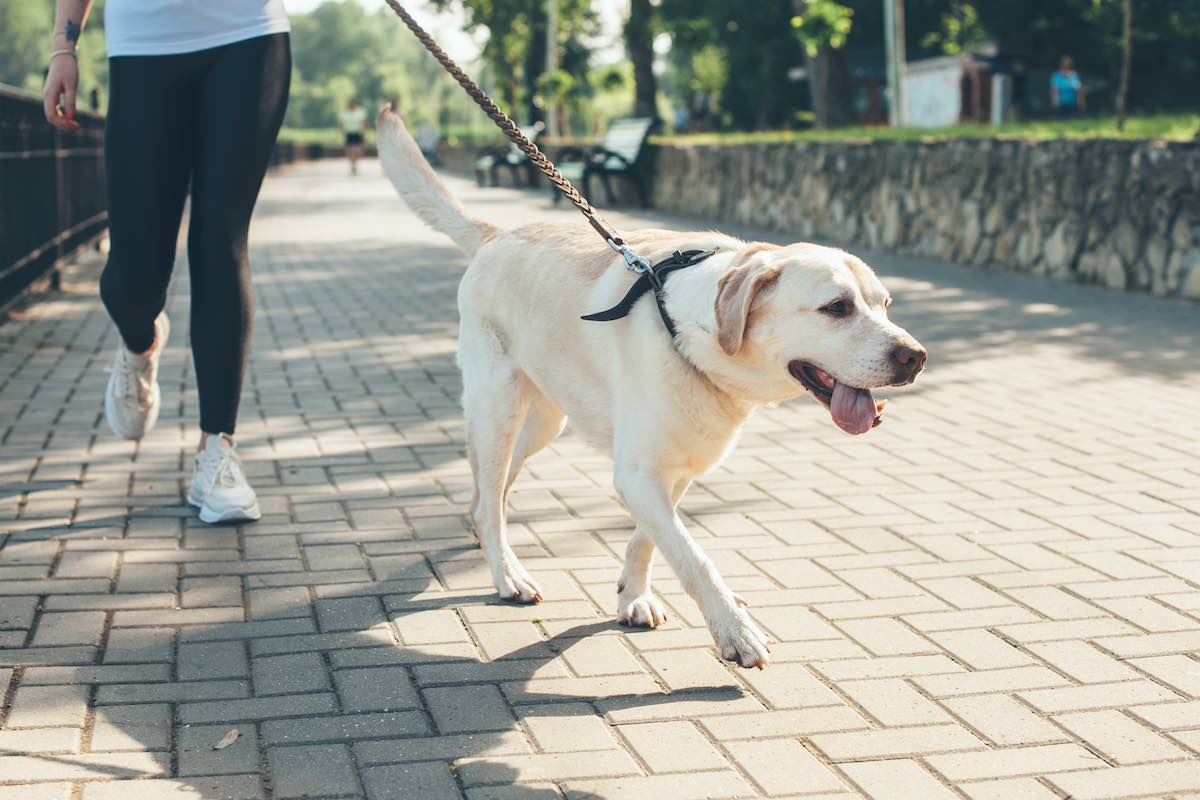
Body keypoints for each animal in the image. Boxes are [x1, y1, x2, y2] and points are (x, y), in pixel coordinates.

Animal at [376, 107, 926, 671]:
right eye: (836, 307)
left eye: (885, 305)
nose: (915, 357)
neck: (690, 330)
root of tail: (495, 235)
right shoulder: (639, 474)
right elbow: (694, 558)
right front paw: (735, 631)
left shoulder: (673, 468)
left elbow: (650, 541)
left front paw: (633, 596)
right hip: (498, 408)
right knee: (489, 493)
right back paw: (506, 571)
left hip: (545, 421)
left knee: (494, 489)